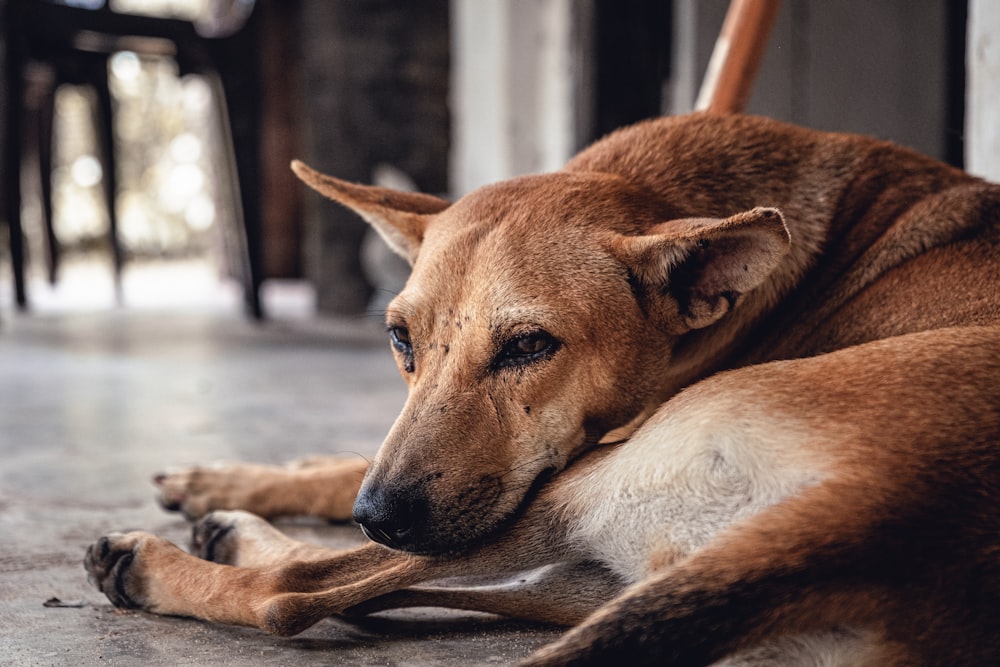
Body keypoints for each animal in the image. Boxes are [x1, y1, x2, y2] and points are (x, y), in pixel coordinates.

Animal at [84, 115, 1000, 667]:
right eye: (399, 338)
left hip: (573, 487)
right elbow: (343, 465)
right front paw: (236, 476)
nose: (379, 514)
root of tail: (873, 521)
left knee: (298, 595)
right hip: (596, 572)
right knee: (378, 590)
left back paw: (164, 561)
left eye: (529, 345)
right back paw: (236, 528)